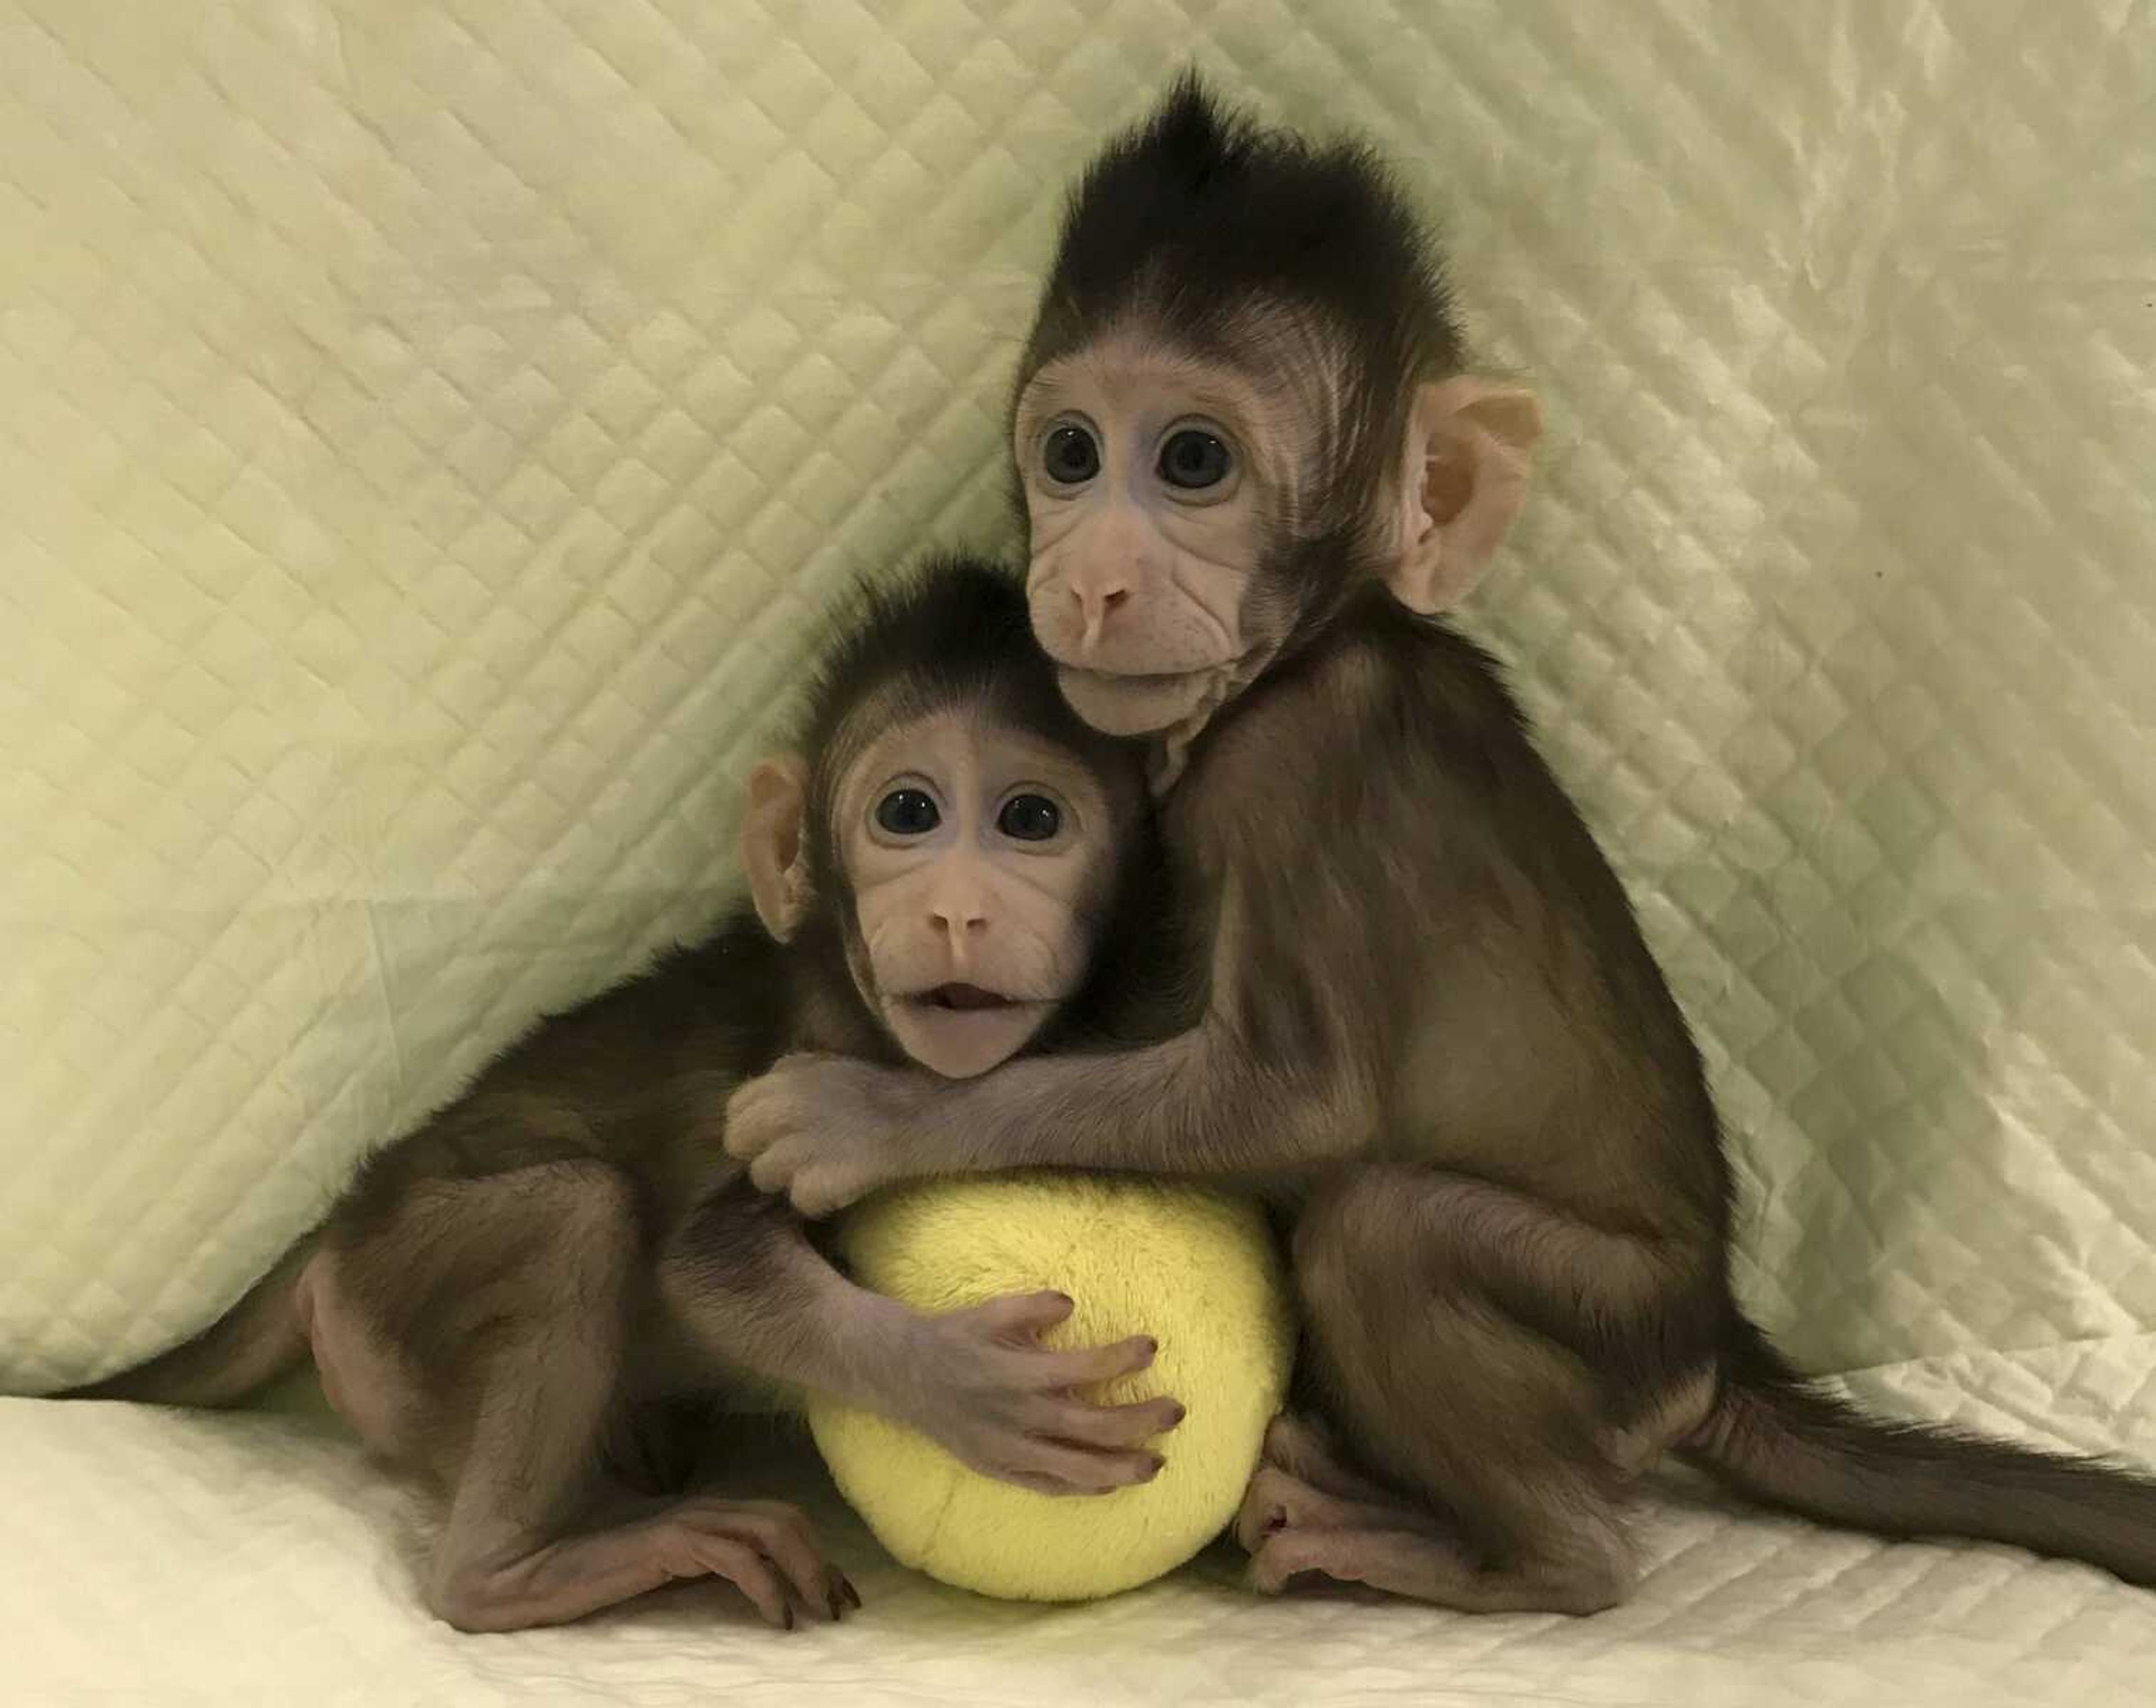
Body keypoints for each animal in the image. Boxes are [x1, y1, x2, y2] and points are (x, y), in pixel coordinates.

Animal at [59, 556, 1190, 1630]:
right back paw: (514, 1570)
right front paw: (960, 1382)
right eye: (907, 813)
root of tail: (341, 1224)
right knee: (579, 1211)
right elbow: (708, 1265)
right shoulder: (800, 1062)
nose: (958, 911)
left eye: (1031, 818)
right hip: (389, 1288)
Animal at [728, 83, 2156, 1613]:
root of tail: (1711, 1343)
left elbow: (1294, 1100)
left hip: (1603, 1324)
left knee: (1387, 1236)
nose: (1091, 578)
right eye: (1069, 455)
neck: (1315, 644)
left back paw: (1500, 1551)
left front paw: (870, 1114)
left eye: (1191, 461)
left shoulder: (1303, 762)